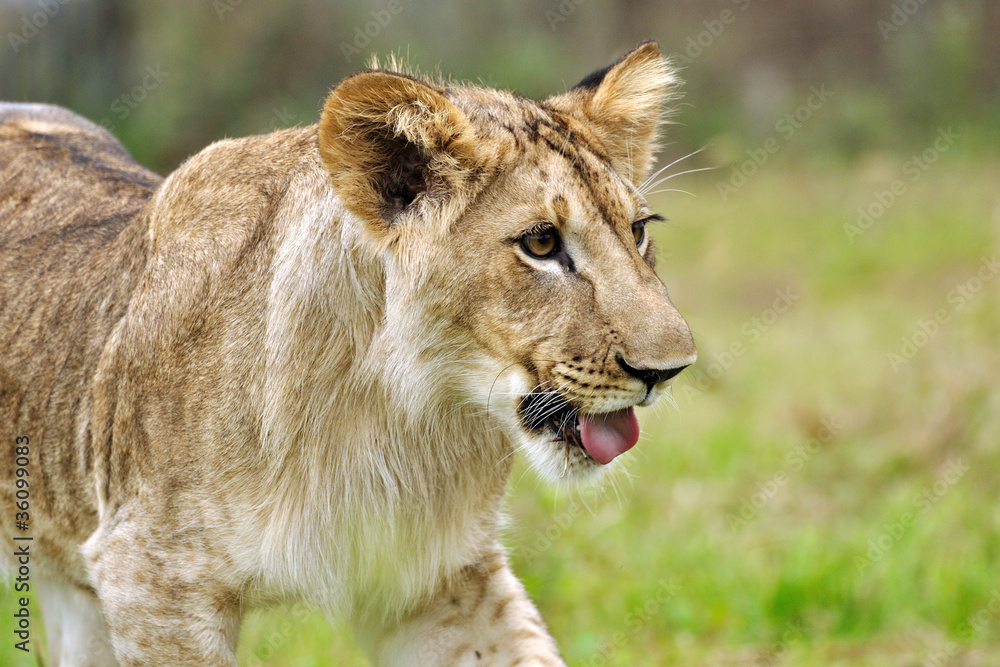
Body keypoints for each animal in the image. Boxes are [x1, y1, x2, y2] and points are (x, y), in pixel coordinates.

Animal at [0, 41, 696, 665]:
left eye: (638, 231)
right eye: (542, 243)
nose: (668, 370)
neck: (396, 410)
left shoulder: (437, 580)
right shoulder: (150, 575)